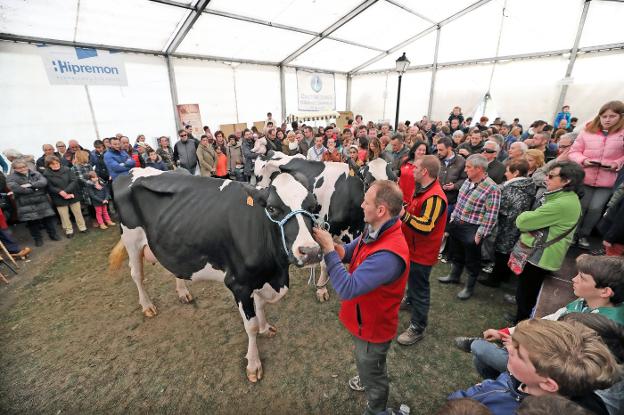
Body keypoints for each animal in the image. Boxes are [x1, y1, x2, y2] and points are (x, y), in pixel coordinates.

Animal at [109, 167, 322, 382]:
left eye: (313, 206)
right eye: (272, 208)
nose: (310, 251)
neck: (275, 272)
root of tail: (133, 170)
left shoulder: (261, 278)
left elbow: (261, 306)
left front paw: (265, 327)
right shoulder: (239, 283)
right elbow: (250, 326)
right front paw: (253, 364)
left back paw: (183, 293)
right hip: (131, 239)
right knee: (136, 274)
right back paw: (147, 306)